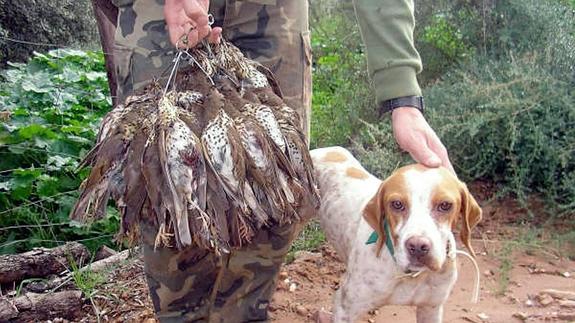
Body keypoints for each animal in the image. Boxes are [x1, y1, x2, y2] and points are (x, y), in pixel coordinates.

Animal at [310, 147, 482, 323]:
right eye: (397, 204)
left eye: (445, 205)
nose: (418, 247)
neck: (411, 276)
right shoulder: (345, 309)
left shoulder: (431, 308)